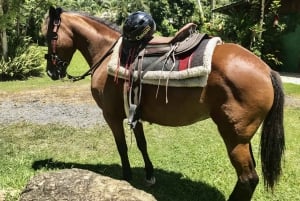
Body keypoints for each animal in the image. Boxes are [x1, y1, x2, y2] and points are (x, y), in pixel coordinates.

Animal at [43, 6, 284, 201]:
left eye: (50, 34)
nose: (52, 71)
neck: (107, 53)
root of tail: (266, 69)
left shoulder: (111, 116)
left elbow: (122, 147)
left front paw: (126, 177)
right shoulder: (134, 112)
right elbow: (142, 144)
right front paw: (149, 175)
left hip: (234, 137)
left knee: (248, 178)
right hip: (243, 137)